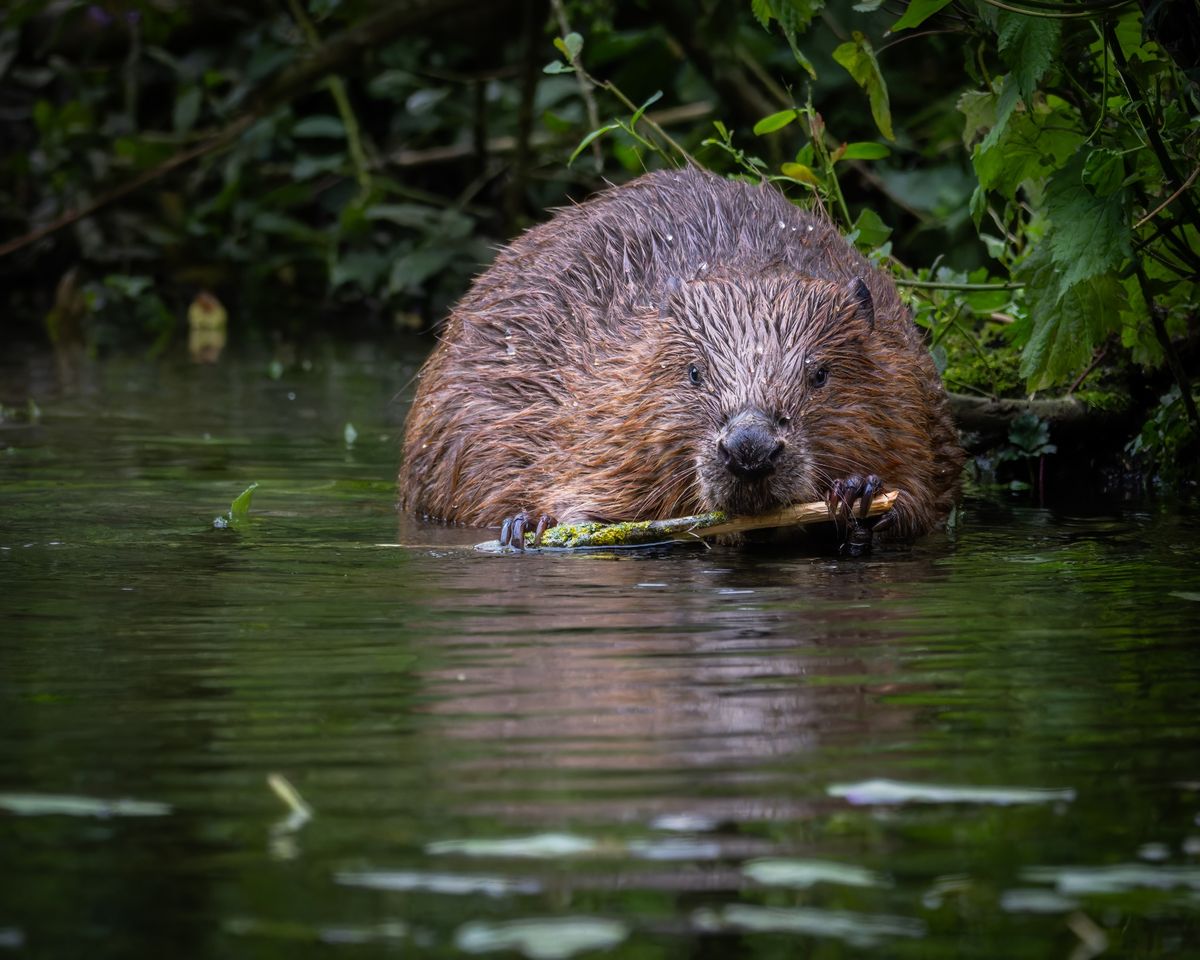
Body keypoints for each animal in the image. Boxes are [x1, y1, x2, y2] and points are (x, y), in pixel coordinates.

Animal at [400, 166, 964, 547]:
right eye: (694, 372)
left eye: (820, 374)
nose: (750, 449)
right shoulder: (596, 406)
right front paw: (532, 522)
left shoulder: (909, 389)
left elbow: (927, 486)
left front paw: (861, 493)